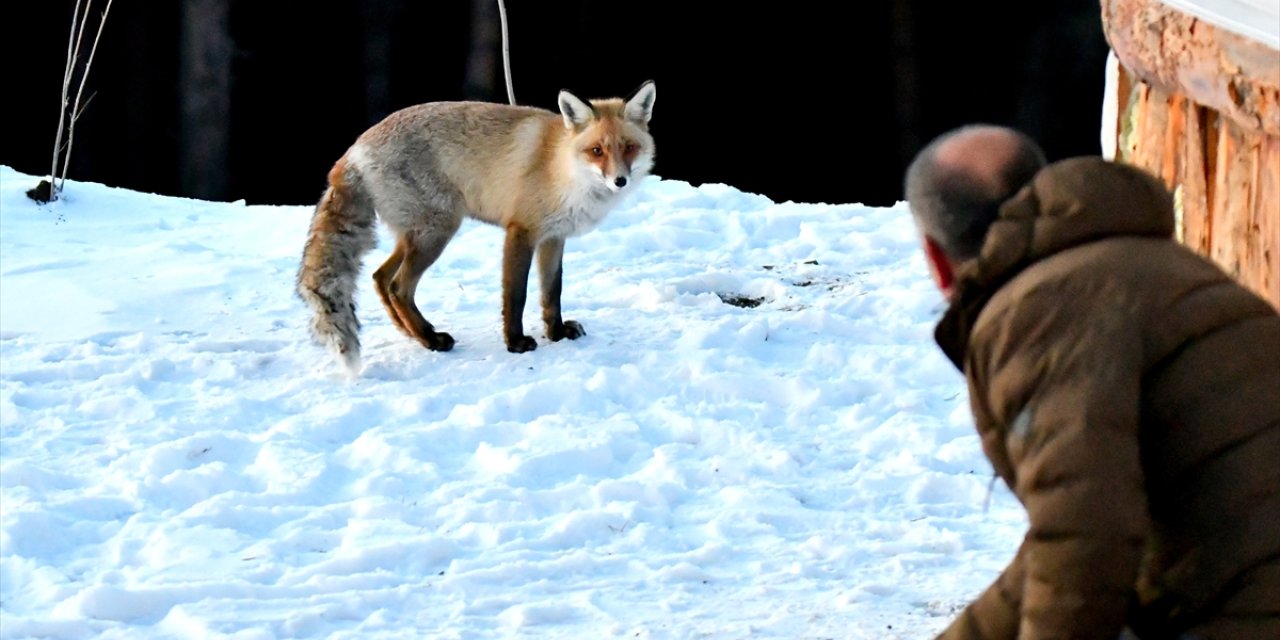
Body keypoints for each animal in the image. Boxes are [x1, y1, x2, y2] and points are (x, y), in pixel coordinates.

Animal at [296, 82, 660, 373]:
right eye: (597, 150)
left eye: (629, 147)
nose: (620, 180)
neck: (562, 169)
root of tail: (353, 150)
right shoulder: (521, 231)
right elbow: (516, 295)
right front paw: (515, 343)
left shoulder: (554, 237)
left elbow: (551, 293)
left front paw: (556, 334)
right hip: (437, 232)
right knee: (399, 286)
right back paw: (430, 340)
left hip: (416, 236)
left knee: (380, 278)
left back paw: (414, 333)